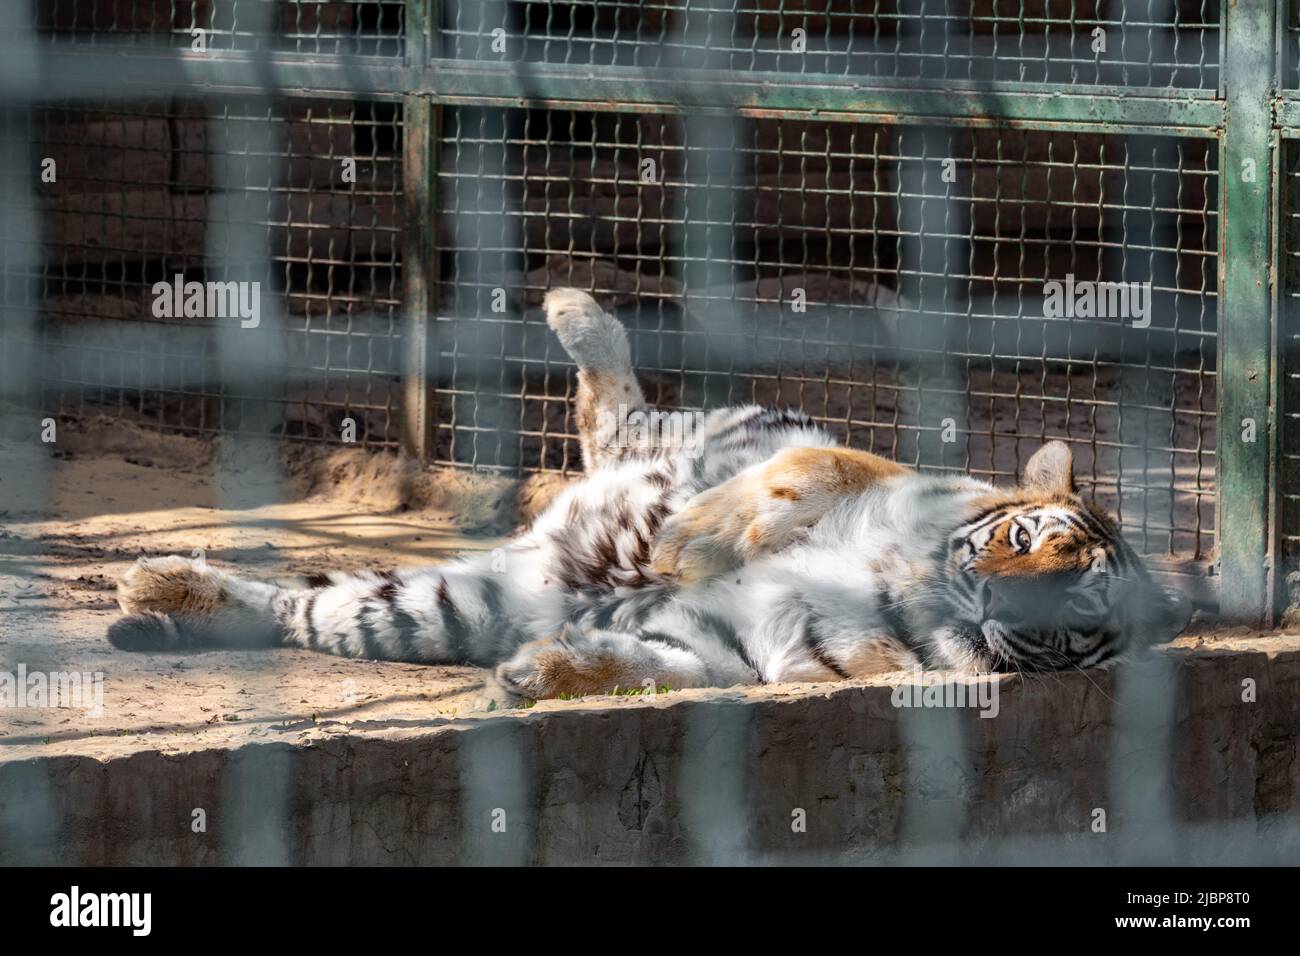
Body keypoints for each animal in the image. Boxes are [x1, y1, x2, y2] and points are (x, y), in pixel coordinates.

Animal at [107, 288, 1193, 699]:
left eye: (1068, 617)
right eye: (1023, 538)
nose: (999, 595)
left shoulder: (744, 650)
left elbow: (658, 663)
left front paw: (545, 672)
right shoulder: (886, 486)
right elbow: (821, 476)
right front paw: (695, 546)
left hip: (442, 607)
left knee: (305, 608)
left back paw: (156, 598)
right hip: (695, 437)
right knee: (617, 413)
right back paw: (574, 310)